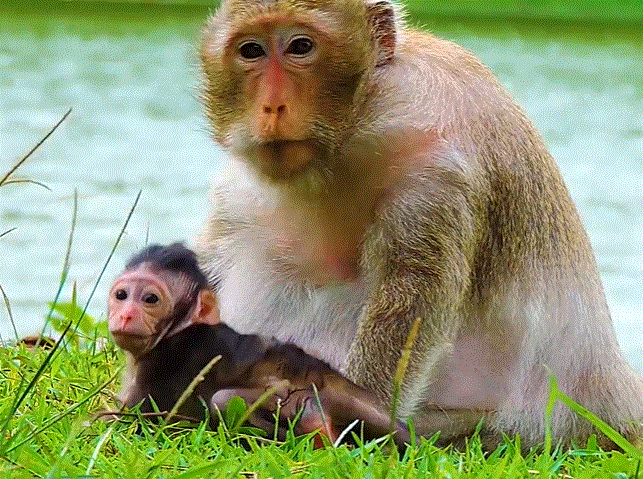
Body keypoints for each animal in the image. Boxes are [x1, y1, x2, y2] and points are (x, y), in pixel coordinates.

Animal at [108, 243, 411, 448]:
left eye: (150, 299)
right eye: (122, 295)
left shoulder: (160, 366)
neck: (179, 331)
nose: (126, 315)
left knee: (223, 400)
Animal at [195, 0, 643, 449]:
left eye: (301, 46)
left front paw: (343, 407)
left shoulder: (434, 167)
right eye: (251, 51)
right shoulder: (239, 192)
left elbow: (411, 299)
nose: (272, 107)